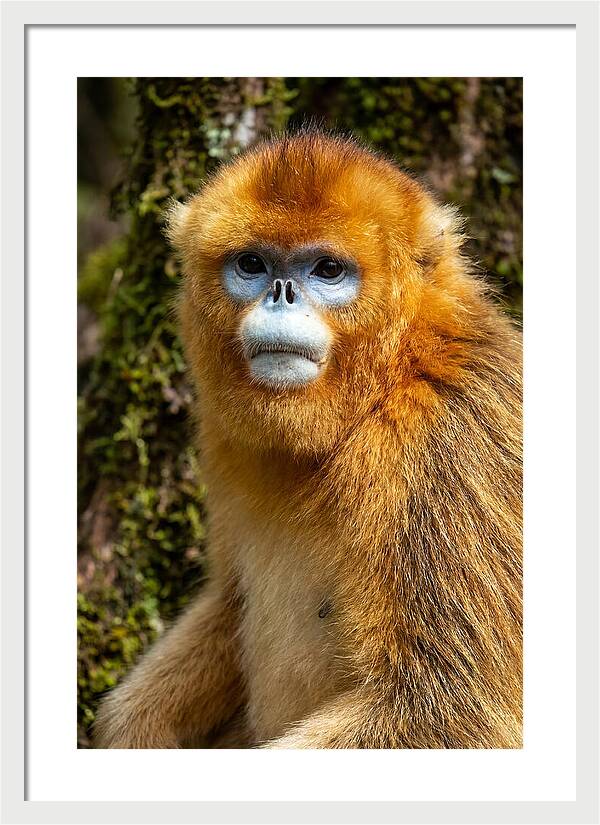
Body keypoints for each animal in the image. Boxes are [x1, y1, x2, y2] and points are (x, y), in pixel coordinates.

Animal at [94, 130, 522, 749]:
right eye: (251, 263)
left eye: (326, 270)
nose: (281, 292)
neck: (385, 386)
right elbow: (228, 602)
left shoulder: (451, 440)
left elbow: (450, 711)